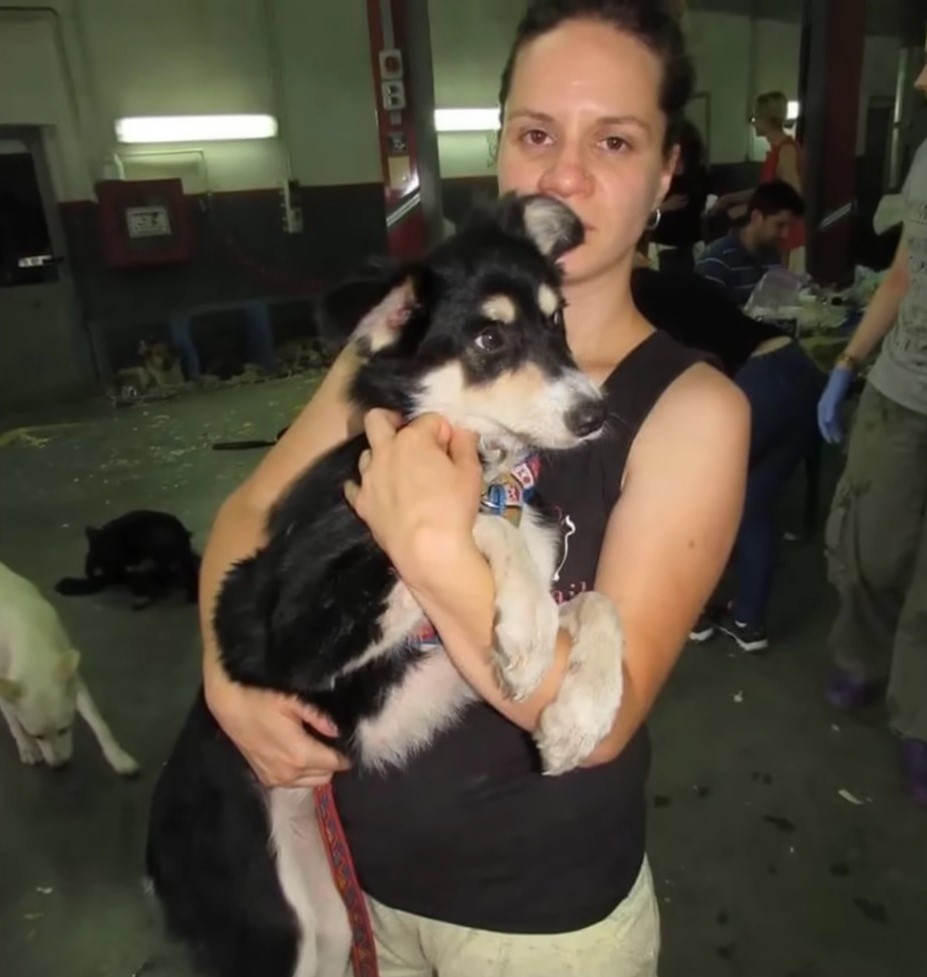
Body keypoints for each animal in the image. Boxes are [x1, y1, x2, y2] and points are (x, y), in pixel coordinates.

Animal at [0, 560, 140, 772]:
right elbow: (15, 725)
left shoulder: (75, 682)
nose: (60, 766)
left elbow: (98, 722)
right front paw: (27, 748)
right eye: (37, 736)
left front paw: (117, 756)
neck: (30, 642)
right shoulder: (5, 693)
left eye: (64, 729)